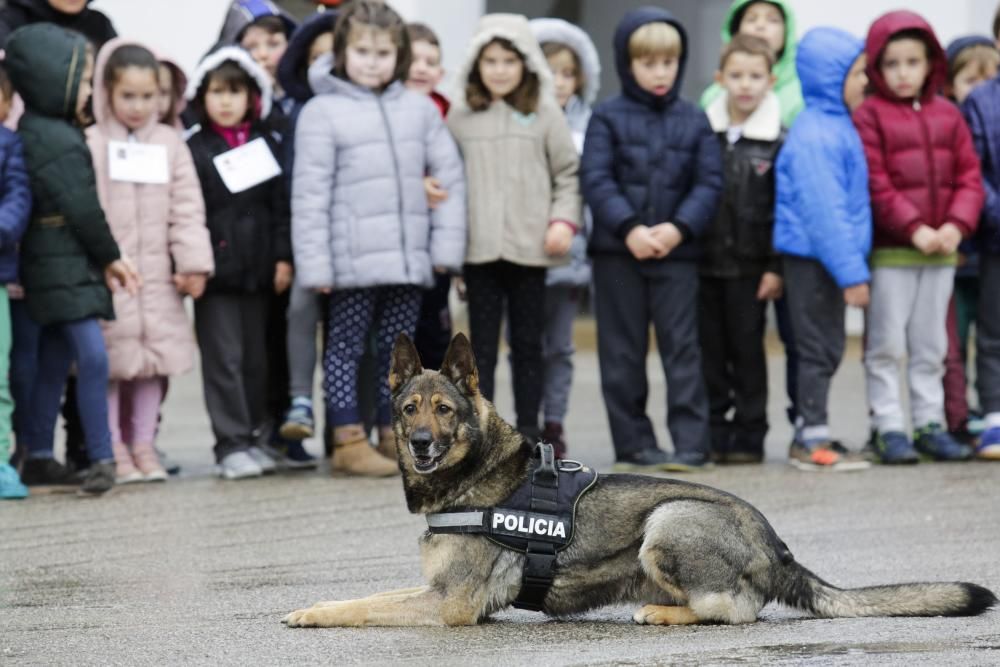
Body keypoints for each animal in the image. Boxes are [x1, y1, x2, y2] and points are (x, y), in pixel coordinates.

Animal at [284, 336, 1000, 628]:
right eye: (409, 409)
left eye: (444, 410)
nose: (423, 444)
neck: (478, 471)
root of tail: (777, 544)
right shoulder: (438, 593)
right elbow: (365, 595)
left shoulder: (448, 605)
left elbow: (359, 605)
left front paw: (310, 613)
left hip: (667, 521)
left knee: (734, 609)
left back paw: (660, 611)